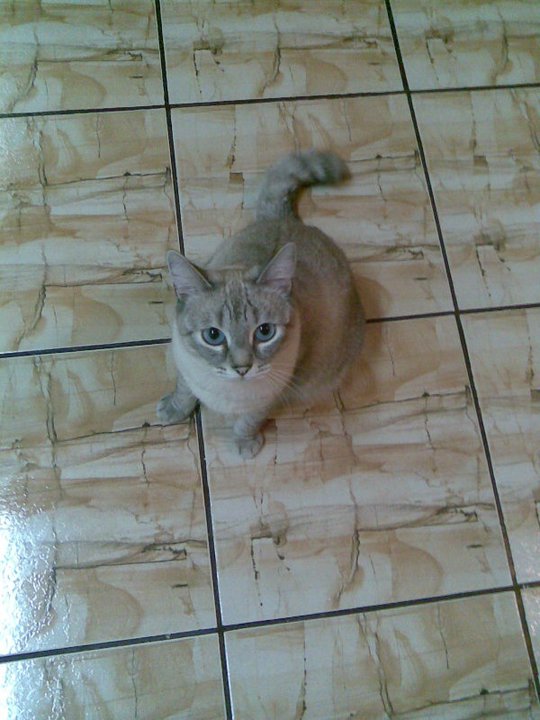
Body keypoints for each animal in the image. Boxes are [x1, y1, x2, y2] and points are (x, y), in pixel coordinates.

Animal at [157, 150, 365, 458]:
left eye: (265, 332)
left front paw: (245, 444)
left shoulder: (271, 397)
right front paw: (173, 410)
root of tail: (289, 220)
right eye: (213, 335)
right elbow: (184, 390)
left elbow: (248, 421)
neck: (224, 390)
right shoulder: (186, 366)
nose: (242, 368)